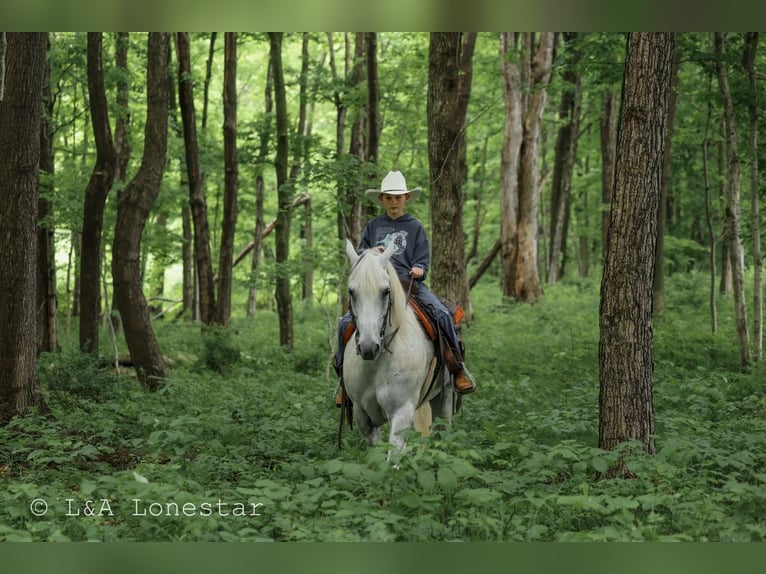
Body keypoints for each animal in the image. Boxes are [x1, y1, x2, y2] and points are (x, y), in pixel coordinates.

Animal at [341, 239, 453, 453]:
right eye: (351, 291)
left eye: (386, 291)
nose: (369, 347)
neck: (376, 364)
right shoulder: (362, 415)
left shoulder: (402, 412)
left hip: (444, 399)